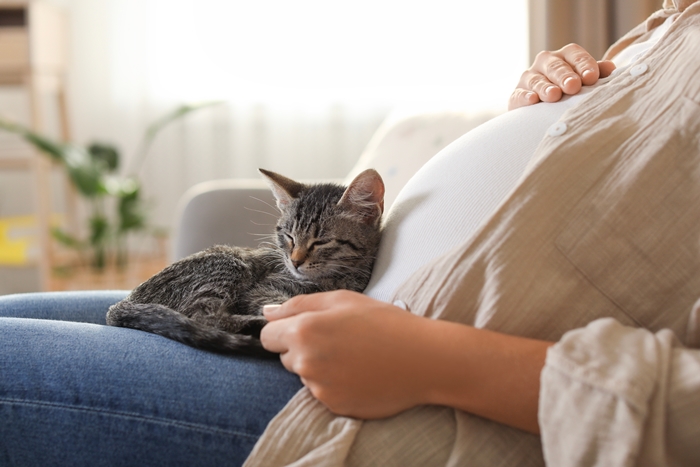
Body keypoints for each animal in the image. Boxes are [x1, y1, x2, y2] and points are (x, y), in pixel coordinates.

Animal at [106, 168, 386, 358]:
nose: (294, 262)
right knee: (203, 317)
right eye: (289, 237)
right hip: (228, 265)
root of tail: (124, 302)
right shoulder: (261, 289)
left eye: (321, 242)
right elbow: (283, 305)